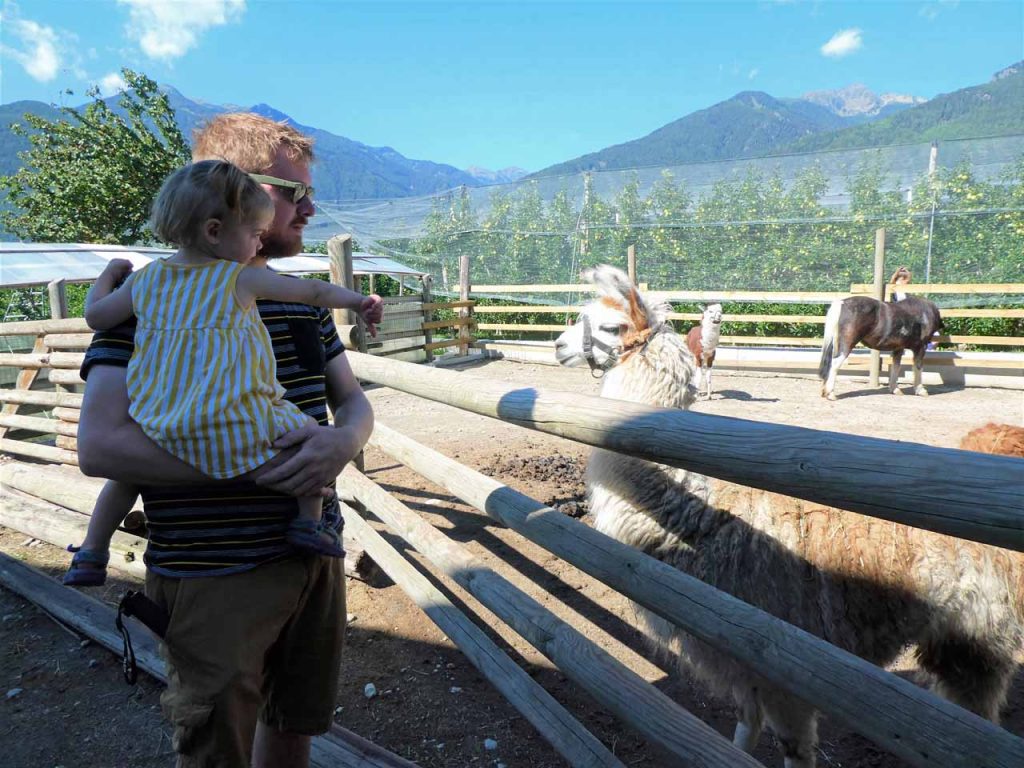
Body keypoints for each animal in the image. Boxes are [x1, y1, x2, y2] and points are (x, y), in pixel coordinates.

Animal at [819, 266, 937, 403]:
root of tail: (842, 303)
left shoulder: (898, 348)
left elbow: (896, 367)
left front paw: (895, 389)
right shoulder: (921, 347)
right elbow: (918, 367)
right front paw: (921, 390)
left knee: (829, 363)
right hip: (847, 344)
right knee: (835, 363)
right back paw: (831, 394)